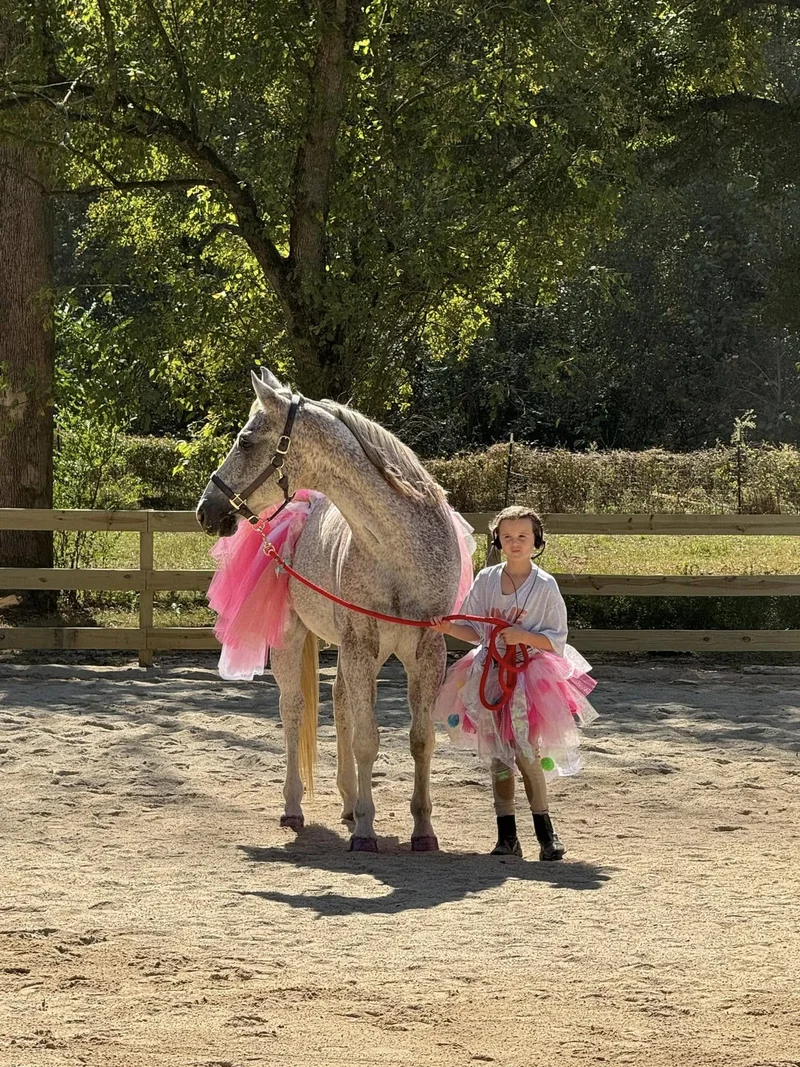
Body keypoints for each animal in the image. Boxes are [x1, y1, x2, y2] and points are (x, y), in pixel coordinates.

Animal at [196, 368, 465, 852]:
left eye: (245, 441)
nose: (206, 510)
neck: (400, 550)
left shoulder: (426, 651)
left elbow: (420, 739)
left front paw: (422, 830)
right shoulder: (361, 644)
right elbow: (366, 740)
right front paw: (365, 831)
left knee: (339, 703)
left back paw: (348, 801)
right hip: (295, 642)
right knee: (293, 710)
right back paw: (294, 807)